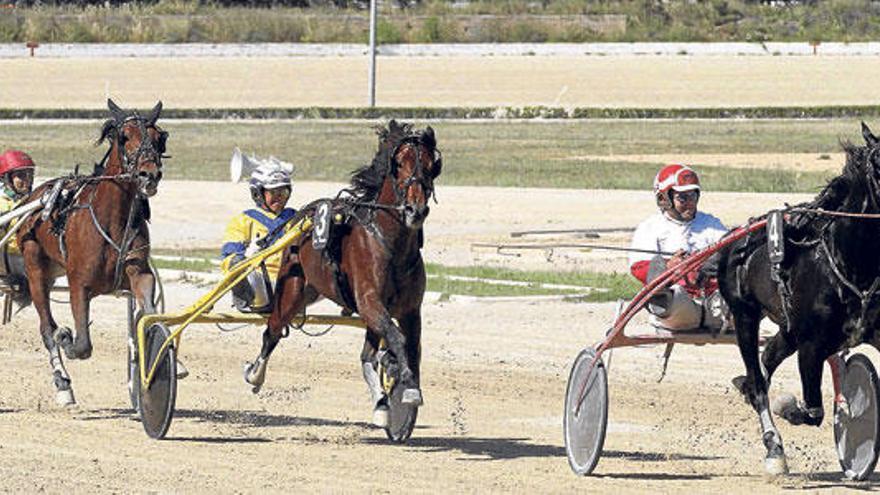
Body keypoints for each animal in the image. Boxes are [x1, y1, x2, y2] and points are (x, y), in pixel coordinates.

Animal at [17, 100, 167, 406]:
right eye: (124, 137)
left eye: (160, 138)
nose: (149, 174)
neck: (113, 218)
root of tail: (35, 196)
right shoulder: (79, 284)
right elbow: (82, 344)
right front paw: (66, 338)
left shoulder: (139, 273)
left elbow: (148, 311)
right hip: (35, 267)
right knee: (46, 327)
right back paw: (62, 382)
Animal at [244, 120, 444, 426]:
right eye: (398, 163)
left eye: (431, 164)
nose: (415, 210)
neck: (390, 244)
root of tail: (300, 219)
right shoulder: (370, 301)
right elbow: (398, 339)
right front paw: (407, 386)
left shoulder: (408, 309)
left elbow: (408, 345)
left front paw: (402, 390)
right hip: (292, 291)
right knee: (272, 330)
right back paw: (255, 374)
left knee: (365, 355)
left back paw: (381, 403)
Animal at [720, 122, 880, 474]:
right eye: (878, 165)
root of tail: (737, 235)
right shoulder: (811, 346)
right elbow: (813, 412)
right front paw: (788, 407)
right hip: (745, 316)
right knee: (759, 384)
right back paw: (773, 446)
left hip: (787, 328)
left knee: (767, 360)